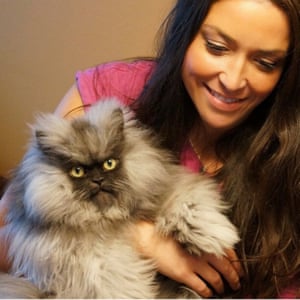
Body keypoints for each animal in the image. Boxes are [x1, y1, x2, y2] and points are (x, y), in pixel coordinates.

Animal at [0, 98, 239, 298]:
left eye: (110, 163)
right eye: (77, 171)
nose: (98, 180)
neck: (108, 217)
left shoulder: (170, 189)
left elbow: (188, 206)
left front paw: (212, 235)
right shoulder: (94, 257)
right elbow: (115, 279)